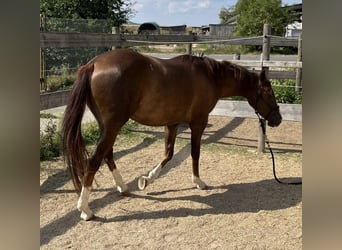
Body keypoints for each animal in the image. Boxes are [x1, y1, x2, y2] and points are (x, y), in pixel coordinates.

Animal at [61, 48, 280, 221]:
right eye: (269, 92)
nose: (277, 119)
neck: (210, 77)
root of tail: (93, 65)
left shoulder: (172, 123)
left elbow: (168, 154)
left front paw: (146, 179)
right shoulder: (198, 123)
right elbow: (194, 153)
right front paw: (198, 182)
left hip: (107, 127)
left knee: (107, 155)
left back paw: (123, 188)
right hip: (112, 126)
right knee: (95, 160)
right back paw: (85, 209)